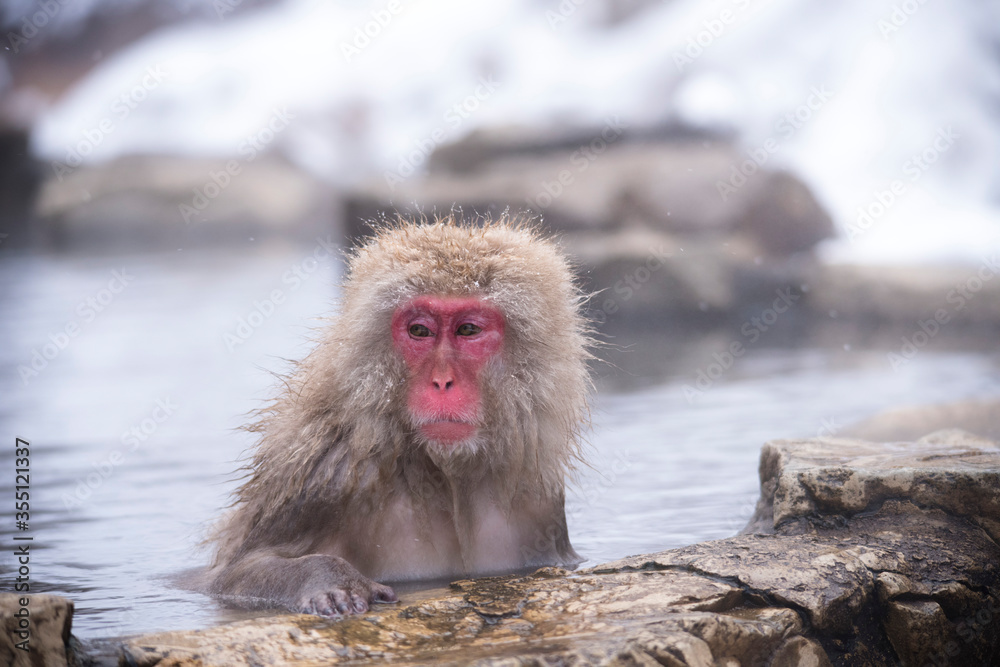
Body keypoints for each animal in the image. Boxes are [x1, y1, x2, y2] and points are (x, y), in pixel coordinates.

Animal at [205, 214, 593, 617]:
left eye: (468, 329)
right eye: (419, 331)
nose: (442, 381)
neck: (443, 473)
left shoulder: (538, 501)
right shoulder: (331, 475)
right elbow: (238, 573)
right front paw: (331, 579)